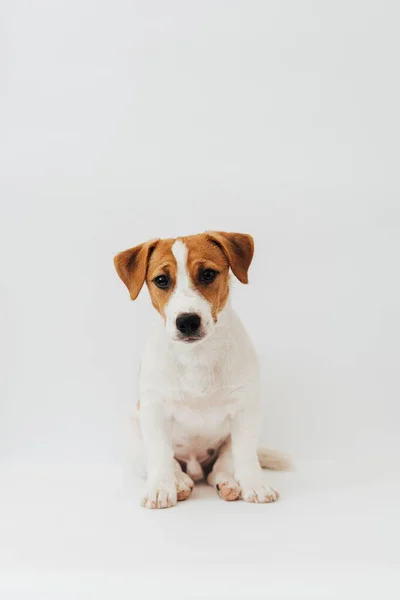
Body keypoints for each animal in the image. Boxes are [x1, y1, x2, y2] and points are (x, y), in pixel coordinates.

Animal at [114, 232, 290, 508]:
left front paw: (254, 484)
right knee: (170, 462)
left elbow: (245, 455)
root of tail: (196, 468)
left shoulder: (245, 411)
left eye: (207, 274)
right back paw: (180, 482)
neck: (196, 356)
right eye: (161, 280)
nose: (187, 321)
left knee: (221, 466)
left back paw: (228, 483)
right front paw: (160, 488)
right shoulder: (154, 410)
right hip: (134, 430)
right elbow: (161, 455)